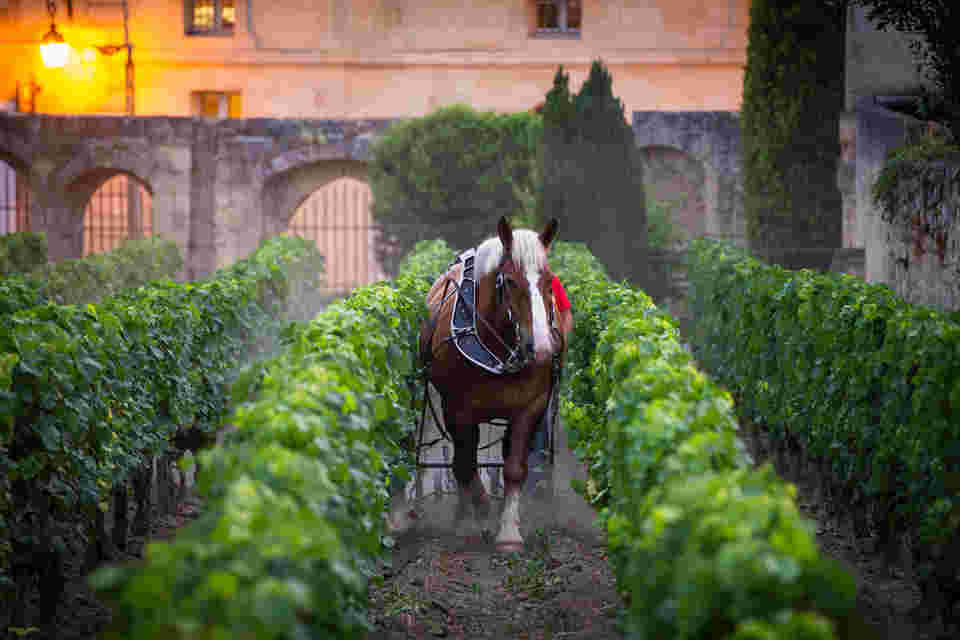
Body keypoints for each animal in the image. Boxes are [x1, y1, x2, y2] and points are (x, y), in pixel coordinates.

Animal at [418, 218, 564, 552]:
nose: (541, 350)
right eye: (509, 281)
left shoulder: (530, 407)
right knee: (461, 462)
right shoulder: (458, 410)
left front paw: (508, 531)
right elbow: (464, 465)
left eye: (549, 280)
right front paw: (481, 515)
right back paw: (463, 515)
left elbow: (514, 467)